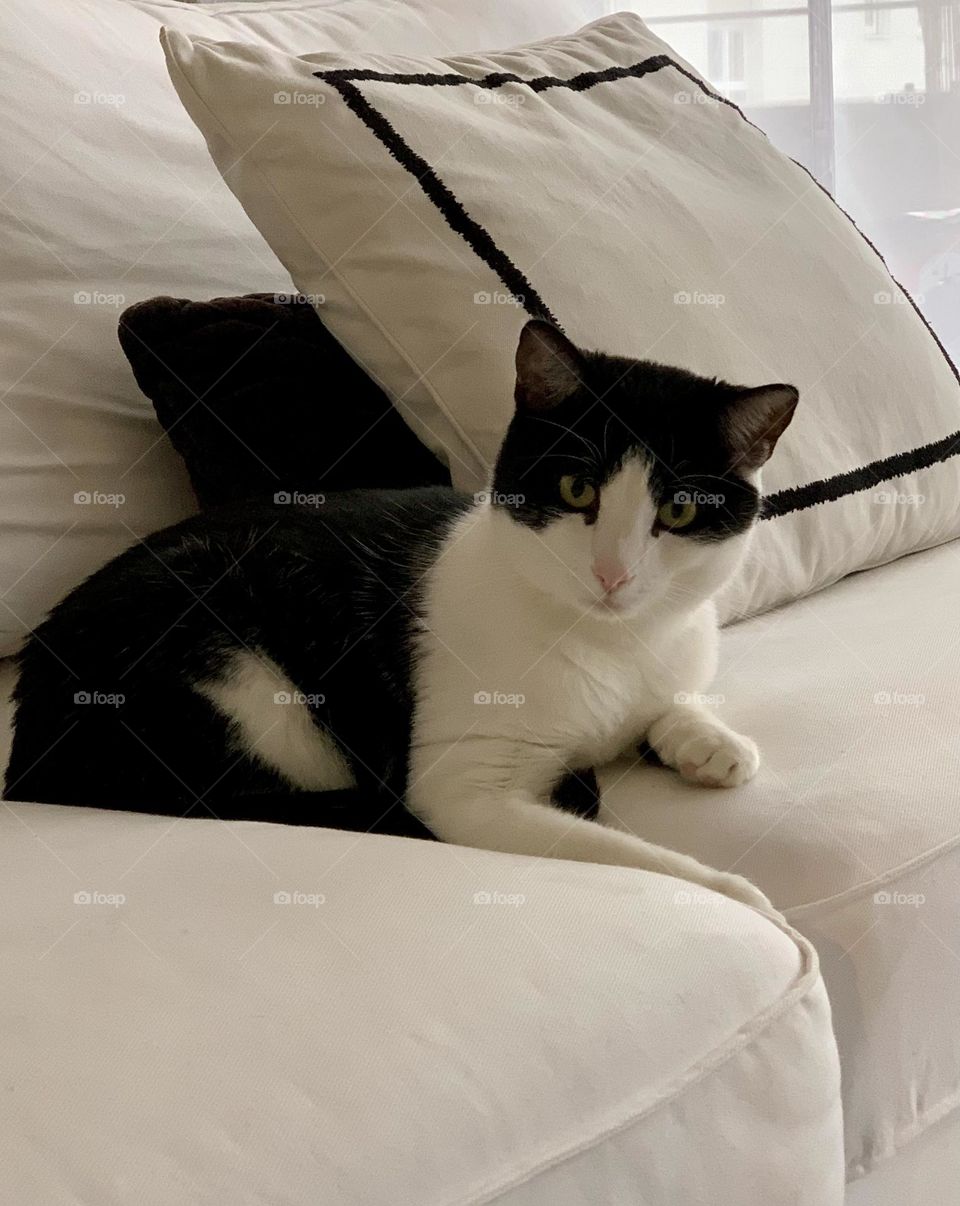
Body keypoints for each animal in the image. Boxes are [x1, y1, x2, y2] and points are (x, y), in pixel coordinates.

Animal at [7, 323, 795, 911]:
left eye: (679, 511)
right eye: (576, 489)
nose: (613, 574)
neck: (613, 641)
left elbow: (672, 699)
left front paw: (709, 741)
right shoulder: (459, 786)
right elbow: (613, 849)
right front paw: (734, 893)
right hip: (240, 674)